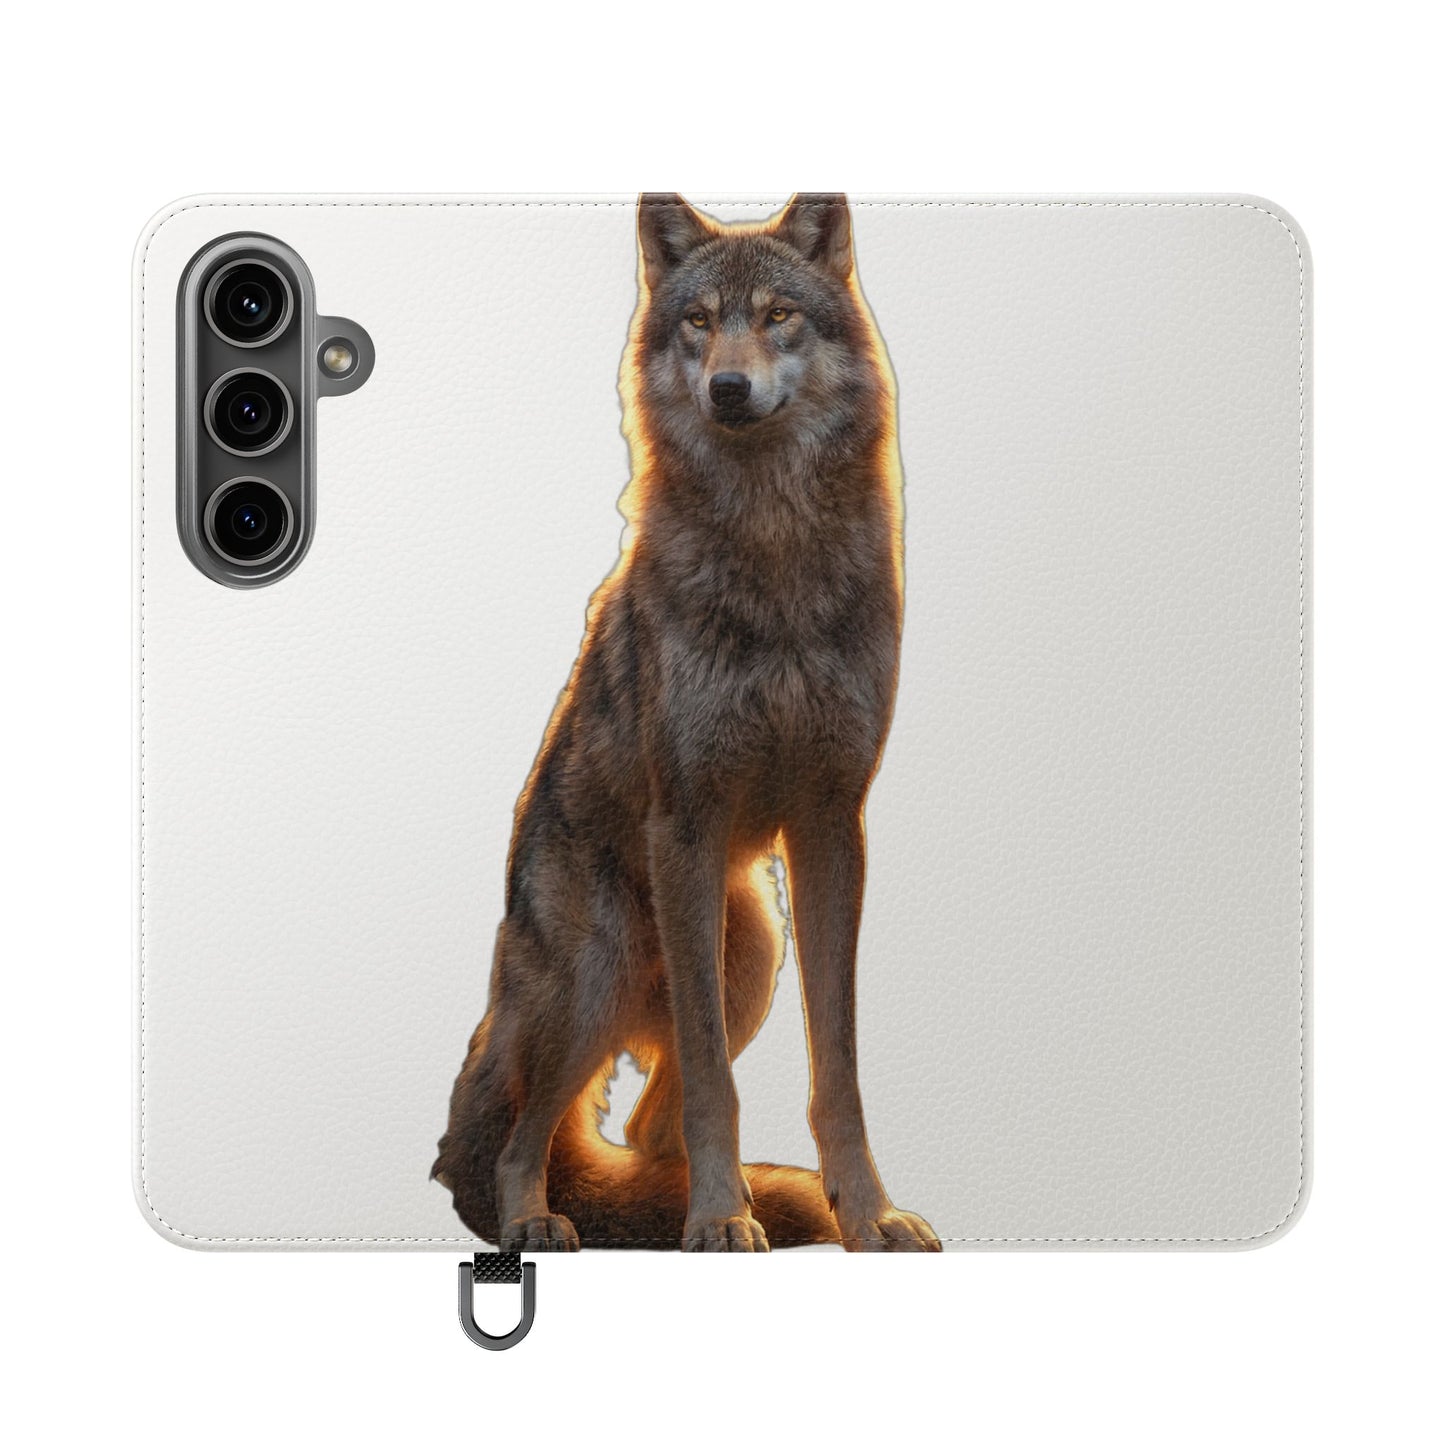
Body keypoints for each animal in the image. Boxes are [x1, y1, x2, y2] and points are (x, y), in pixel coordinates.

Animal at [433, 194, 939, 1252]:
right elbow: (712, 1079)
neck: (774, 545)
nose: (729, 388)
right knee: (521, 1136)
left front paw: (866, 1215)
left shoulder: (832, 822)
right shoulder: (688, 823)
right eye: (699, 321)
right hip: (600, 973)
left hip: (749, 953)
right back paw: (542, 1221)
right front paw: (716, 1219)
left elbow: (837, 1068)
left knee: (640, 1124)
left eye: (777, 316)